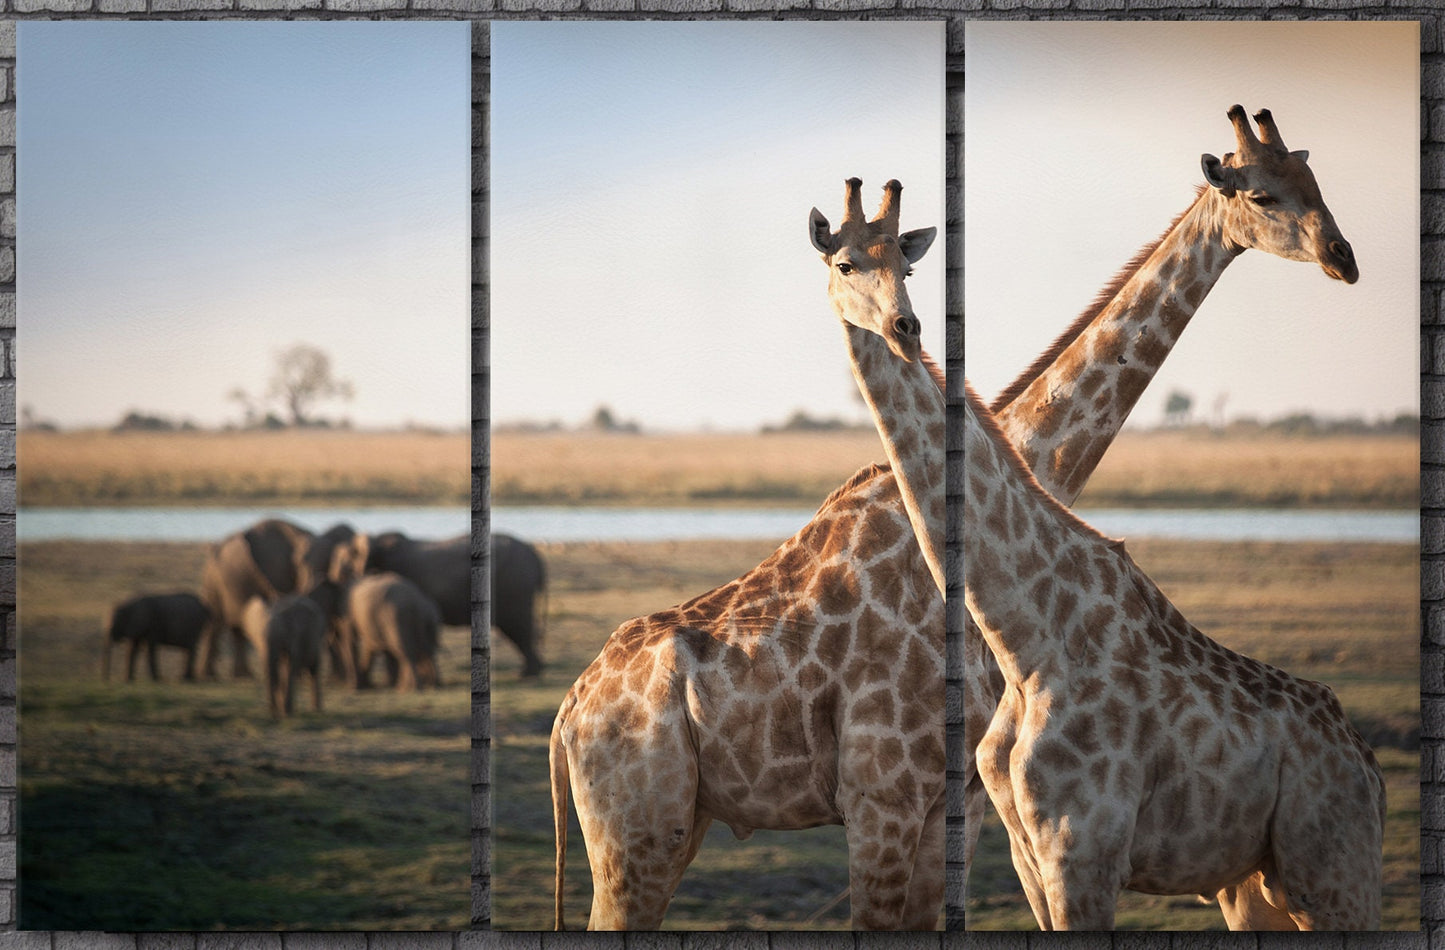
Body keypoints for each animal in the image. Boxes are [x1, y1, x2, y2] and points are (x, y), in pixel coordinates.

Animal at [550, 185, 945, 931]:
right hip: (635, 835)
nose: (907, 328)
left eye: (908, 267)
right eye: (845, 263)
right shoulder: (888, 800)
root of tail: (565, 715)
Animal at [962, 381, 1385, 930]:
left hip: (1334, 872)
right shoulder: (1028, 858)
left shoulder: (1081, 856)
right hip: (1253, 886)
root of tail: (1369, 766)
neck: (1026, 651)